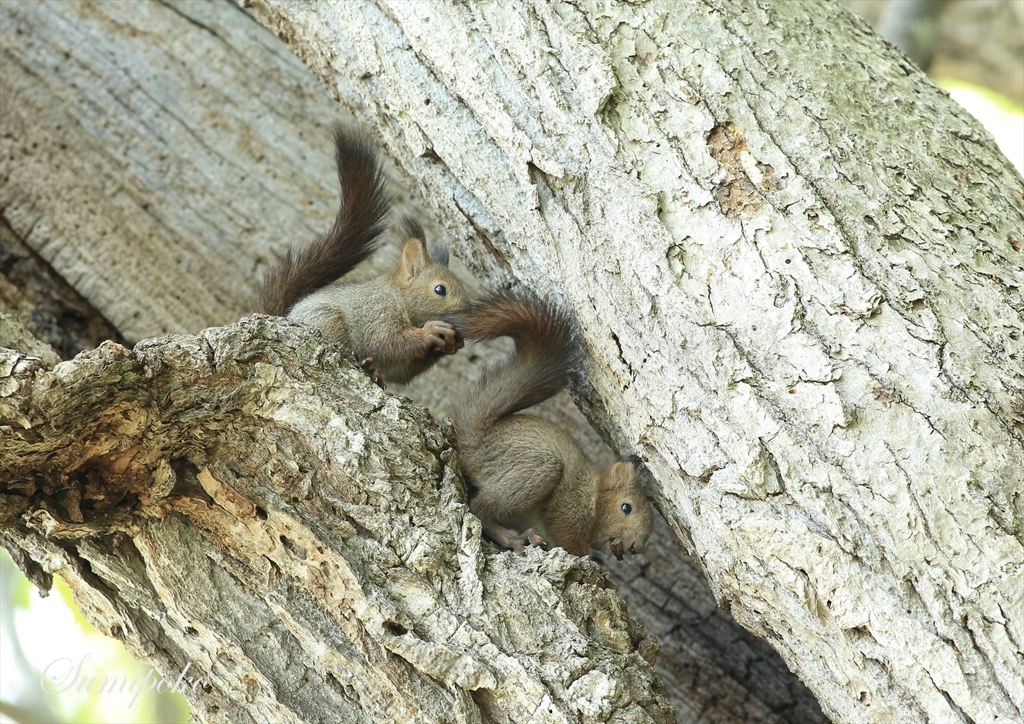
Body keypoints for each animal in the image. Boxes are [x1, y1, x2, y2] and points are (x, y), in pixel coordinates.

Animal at [253, 127, 466, 387]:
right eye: (440, 290)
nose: (467, 313)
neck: (397, 297)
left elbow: (402, 371)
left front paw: (448, 345)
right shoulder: (377, 313)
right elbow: (387, 342)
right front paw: (431, 332)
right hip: (327, 320)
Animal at [444, 290, 651, 557]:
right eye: (626, 507)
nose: (637, 547)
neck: (594, 490)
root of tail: (476, 439)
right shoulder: (571, 503)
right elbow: (564, 532)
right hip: (538, 469)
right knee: (480, 510)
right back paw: (514, 539)